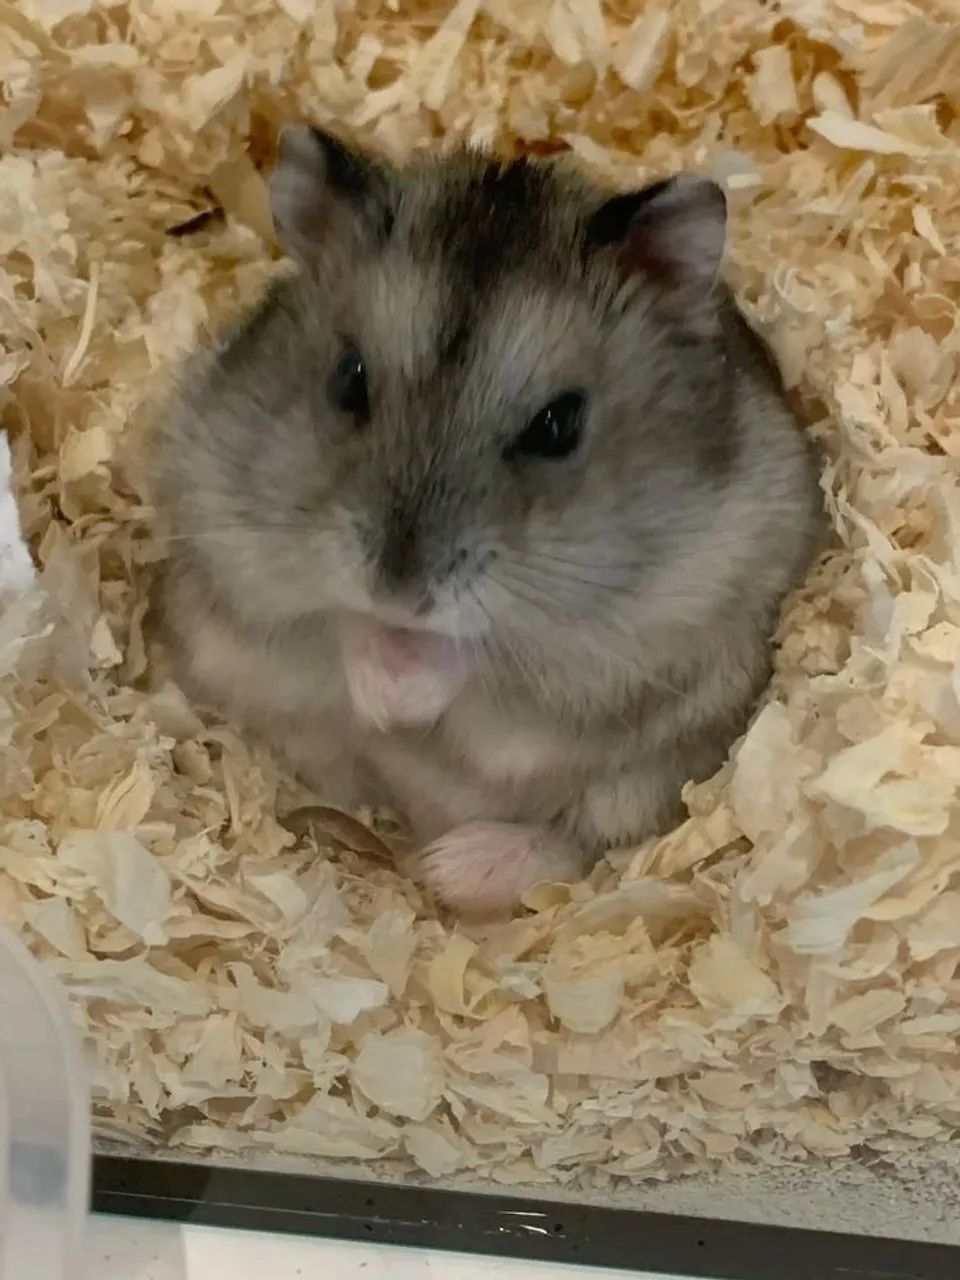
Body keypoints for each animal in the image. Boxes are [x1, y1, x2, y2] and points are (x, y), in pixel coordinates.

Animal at [154, 126, 821, 915]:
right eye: (348, 378)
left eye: (558, 425)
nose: (400, 593)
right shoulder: (230, 542)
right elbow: (329, 620)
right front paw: (383, 700)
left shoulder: (632, 644)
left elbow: (486, 658)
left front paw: (402, 700)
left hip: (647, 779)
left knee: (578, 841)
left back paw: (452, 864)